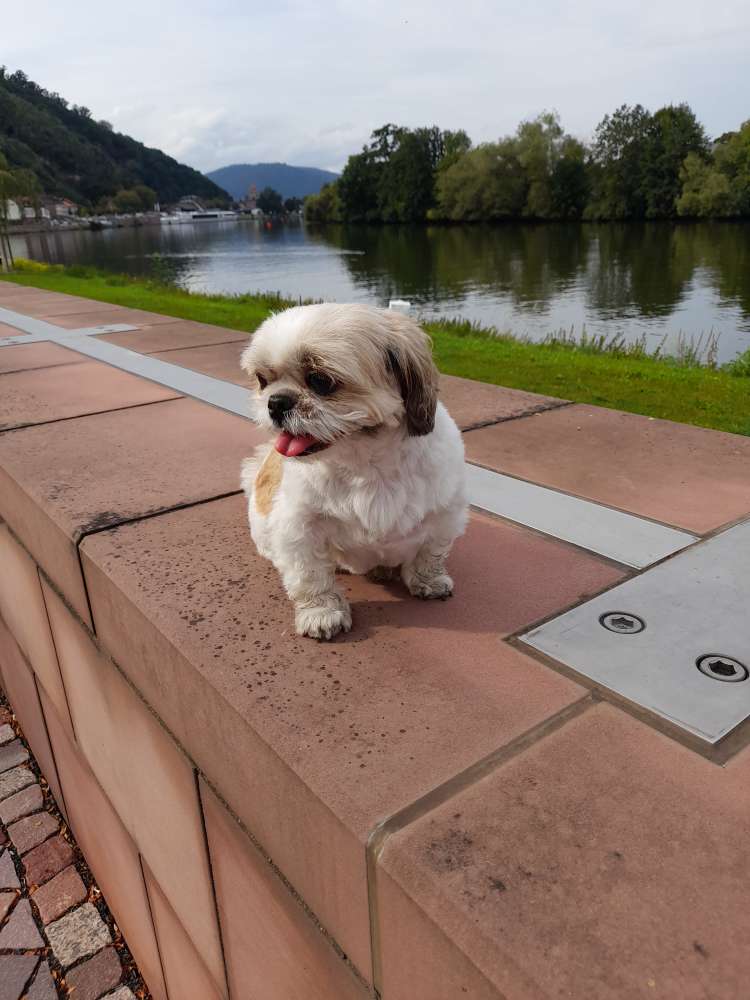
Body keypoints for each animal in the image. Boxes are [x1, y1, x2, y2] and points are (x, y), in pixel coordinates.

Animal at [241, 300, 468, 640]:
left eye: (320, 380)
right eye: (262, 379)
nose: (276, 402)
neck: (365, 463)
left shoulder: (444, 514)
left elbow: (431, 552)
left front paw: (429, 580)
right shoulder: (299, 527)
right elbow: (310, 575)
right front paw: (321, 613)